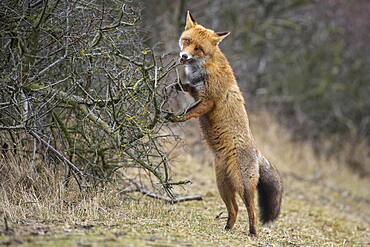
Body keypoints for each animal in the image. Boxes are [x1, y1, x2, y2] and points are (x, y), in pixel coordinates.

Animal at [166, 11, 282, 235]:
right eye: (187, 41)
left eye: (198, 49)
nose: (183, 57)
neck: (202, 68)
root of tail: (256, 151)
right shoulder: (197, 93)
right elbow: (187, 87)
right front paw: (176, 85)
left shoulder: (208, 101)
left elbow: (187, 113)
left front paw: (174, 117)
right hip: (222, 185)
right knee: (234, 209)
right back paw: (228, 228)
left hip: (242, 186)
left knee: (251, 210)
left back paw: (253, 233)